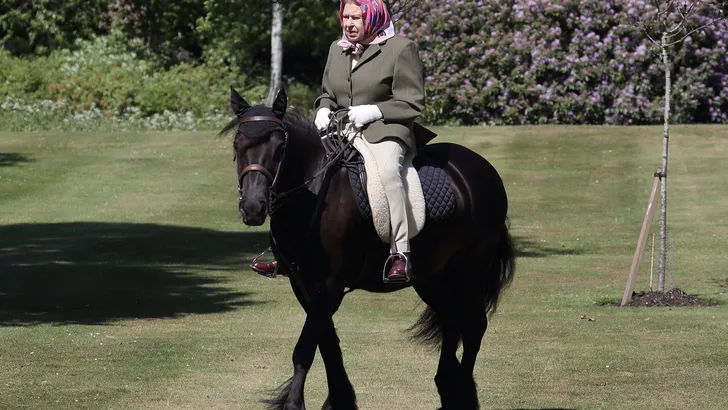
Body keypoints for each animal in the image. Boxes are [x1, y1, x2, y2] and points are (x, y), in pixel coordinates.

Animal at [225, 85, 516, 408]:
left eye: (279, 147)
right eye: (237, 146)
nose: (253, 207)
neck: (314, 194)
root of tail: (481, 168)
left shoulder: (327, 285)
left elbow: (305, 349)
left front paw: (295, 403)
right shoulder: (303, 285)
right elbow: (327, 344)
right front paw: (339, 400)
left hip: (472, 268)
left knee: (474, 325)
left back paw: (462, 392)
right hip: (434, 276)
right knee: (452, 320)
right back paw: (446, 387)